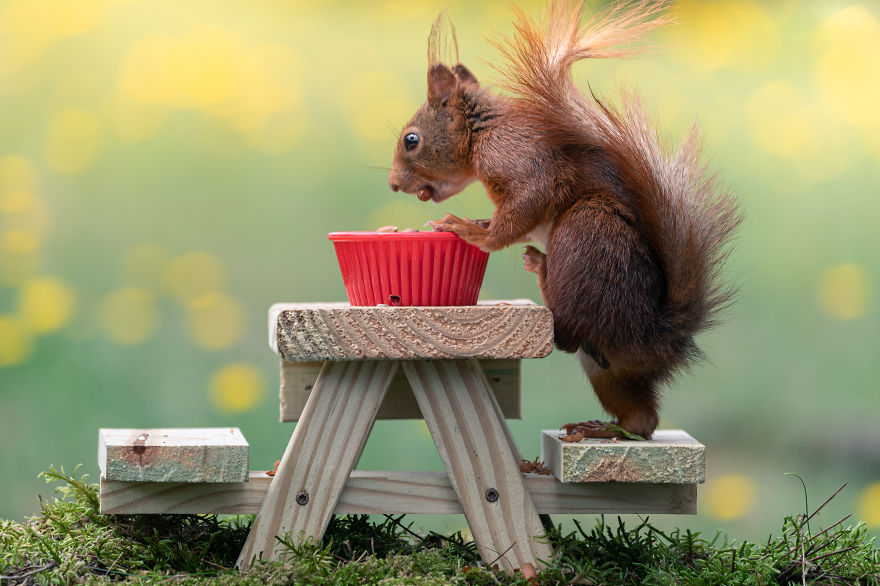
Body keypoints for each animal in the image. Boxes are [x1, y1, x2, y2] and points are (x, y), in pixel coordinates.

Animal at [388, 0, 740, 438]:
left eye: (411, 140)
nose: (392, 184)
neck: (485, 131)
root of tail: (653, 335)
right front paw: (479, 222)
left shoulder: (526, 164)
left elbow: (520, 211)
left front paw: (470, 231)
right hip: (605, 367)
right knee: (640, 419)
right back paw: (601, 428)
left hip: (583, 233)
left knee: (566, 332)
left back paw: (541, 265)